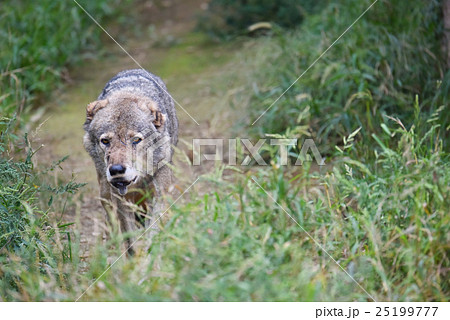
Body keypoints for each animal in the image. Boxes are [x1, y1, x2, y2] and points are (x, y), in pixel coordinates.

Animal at [83, 69, 178, 254]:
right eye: (105, 141)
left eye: (136, 140)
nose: (116, 170)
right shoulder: (122, 201)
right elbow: (130, 244)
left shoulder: (158, 195)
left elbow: (153, 233)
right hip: (105, 191)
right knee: (110, 218)